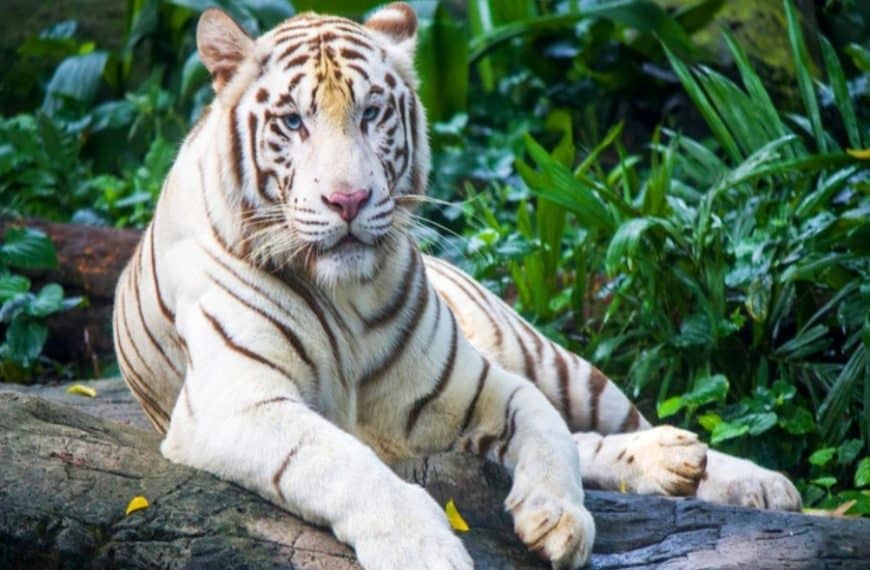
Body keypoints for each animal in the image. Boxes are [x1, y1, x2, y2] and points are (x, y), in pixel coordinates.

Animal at [112, 4, 802, 568]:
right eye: (292, 122)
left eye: (370, 113)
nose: (347, 200)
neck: (344, 296)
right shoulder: (236, 403)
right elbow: (343, 462)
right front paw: (421, 550)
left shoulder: (476, 381)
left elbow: (548, 430)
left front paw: (559, 517)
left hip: (552, 359)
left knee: (606, 420)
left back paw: (739, 475)